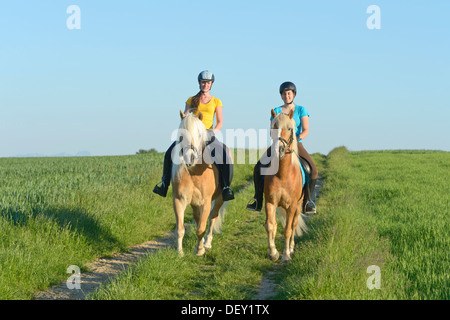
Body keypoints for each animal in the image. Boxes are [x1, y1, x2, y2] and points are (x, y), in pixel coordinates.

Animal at [172, 110, 229, 258]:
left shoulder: (206, 202)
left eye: (199, 134)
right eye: (181, 136)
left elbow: (201, 229)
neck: (195, 172)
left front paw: (200, 250)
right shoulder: (179, 200)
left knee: (212, 218)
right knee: (198, 219)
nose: (190, 158)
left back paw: (207, 243)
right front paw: (179, 252)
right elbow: (180, 229)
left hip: (219, 199)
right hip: (195, 203)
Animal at [264, 109, 310, 262]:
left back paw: (291, 248)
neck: (283, 174)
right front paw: (273, 253)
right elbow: (271, 226)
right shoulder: (270, 202)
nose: (280, 149)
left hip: (299, 205)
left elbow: (288, 230)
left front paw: (286, 255)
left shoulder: (292, 205)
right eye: (273, 127)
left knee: (294, 225)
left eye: (290, 128)